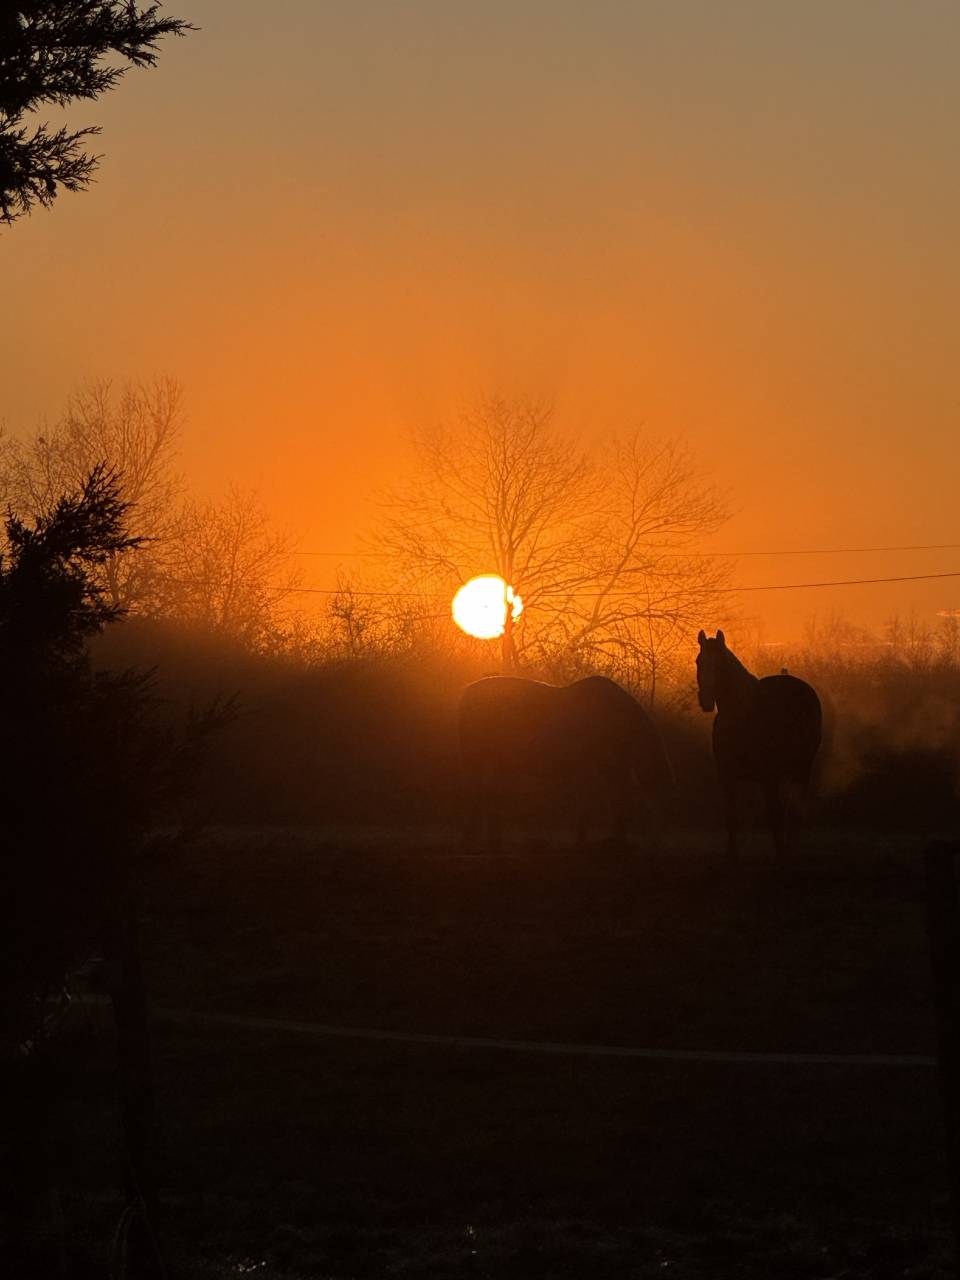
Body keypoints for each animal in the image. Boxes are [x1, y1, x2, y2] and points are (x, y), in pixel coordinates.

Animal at [458, 674, 676, 852]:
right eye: (661, 792)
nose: (656, 846)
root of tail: (467, 692)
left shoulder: (610, 770)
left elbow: (616, 802)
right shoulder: (599, 769)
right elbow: (600, 804)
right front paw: (592, 841)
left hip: (494, 760)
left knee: (489, 794)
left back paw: (492, 841)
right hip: (474, 759)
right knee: (474, 794)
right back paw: (471, 841)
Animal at [696, 629, 822, 858]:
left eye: (720, 664)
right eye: (699, 661)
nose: (706, 700)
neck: (743, 716)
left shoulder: (767, 777)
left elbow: (773, 815)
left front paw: (781, 853)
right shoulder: (727, 776)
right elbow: (731, 816)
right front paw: (732, 855)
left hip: (802, 768)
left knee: (794, 810)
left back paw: (791, 849)